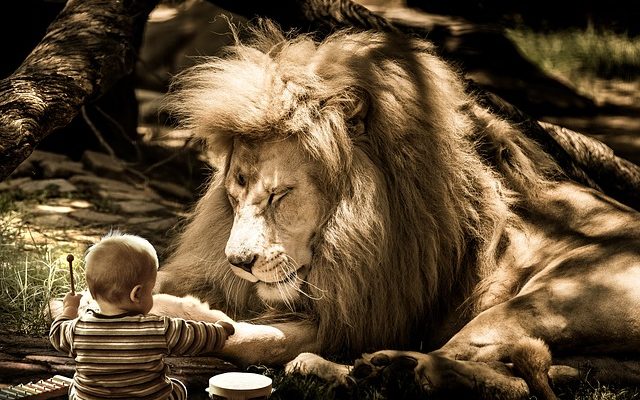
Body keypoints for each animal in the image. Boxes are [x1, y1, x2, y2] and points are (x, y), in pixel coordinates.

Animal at [151, 21, 640, 400]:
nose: (239, 263)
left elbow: (255, 338)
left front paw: (187, 311)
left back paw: (364, 369)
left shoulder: (359, 316)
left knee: (449, 358)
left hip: (541, 300)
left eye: (280, 195)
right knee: (515, 377)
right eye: (234, 196)